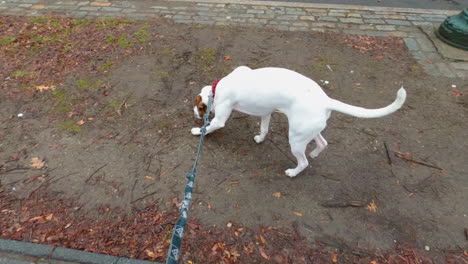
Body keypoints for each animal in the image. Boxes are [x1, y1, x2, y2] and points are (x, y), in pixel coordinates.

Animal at [192, 66, 404, 177]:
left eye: (199, 107)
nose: (194, 112)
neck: (217, 88)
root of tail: (325, 101)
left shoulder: (220, 118)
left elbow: (210, 127)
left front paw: (197, 131)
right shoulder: (265, 113)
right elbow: (264, 129)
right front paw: (260, 138)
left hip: (296, 139)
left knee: (303, 162)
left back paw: (293, 172)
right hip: (308, 131)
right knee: (322, 143)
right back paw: (315, 152)